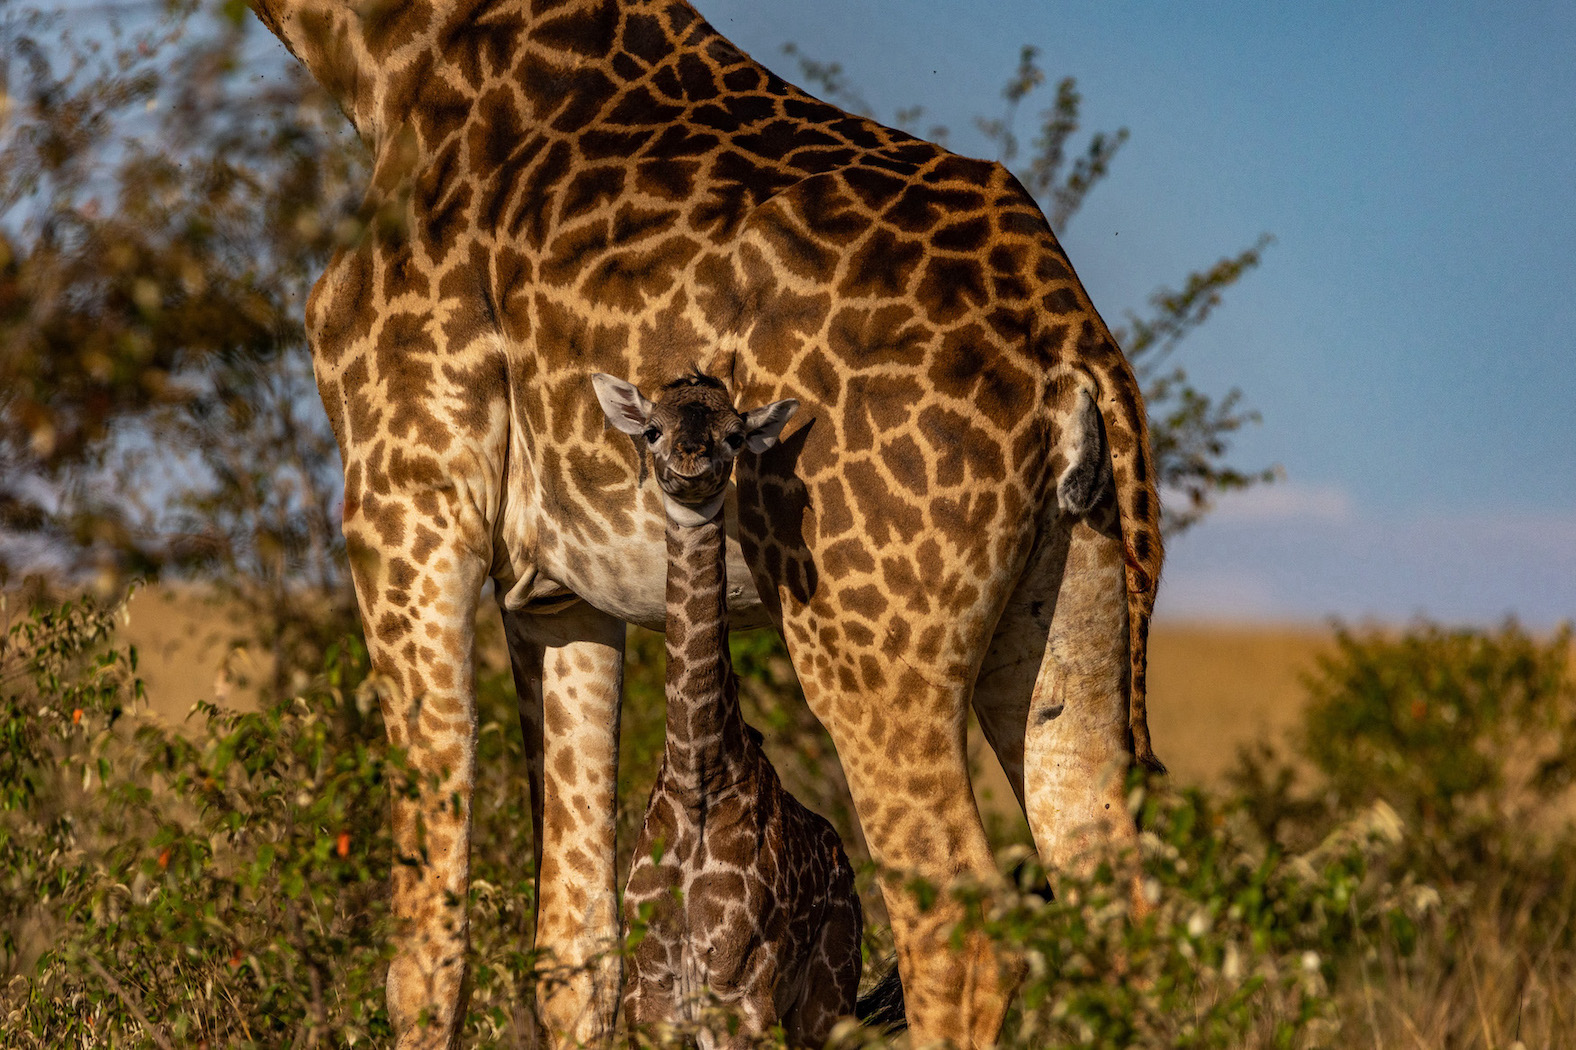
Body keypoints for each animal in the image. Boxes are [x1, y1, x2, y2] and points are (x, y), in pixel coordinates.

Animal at [593, 370, 863, 1047]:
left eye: (735, 435)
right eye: (653, 429)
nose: (690, 461)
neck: (696, 781)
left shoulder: (742, 992)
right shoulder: (651, 994)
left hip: (830, 993)